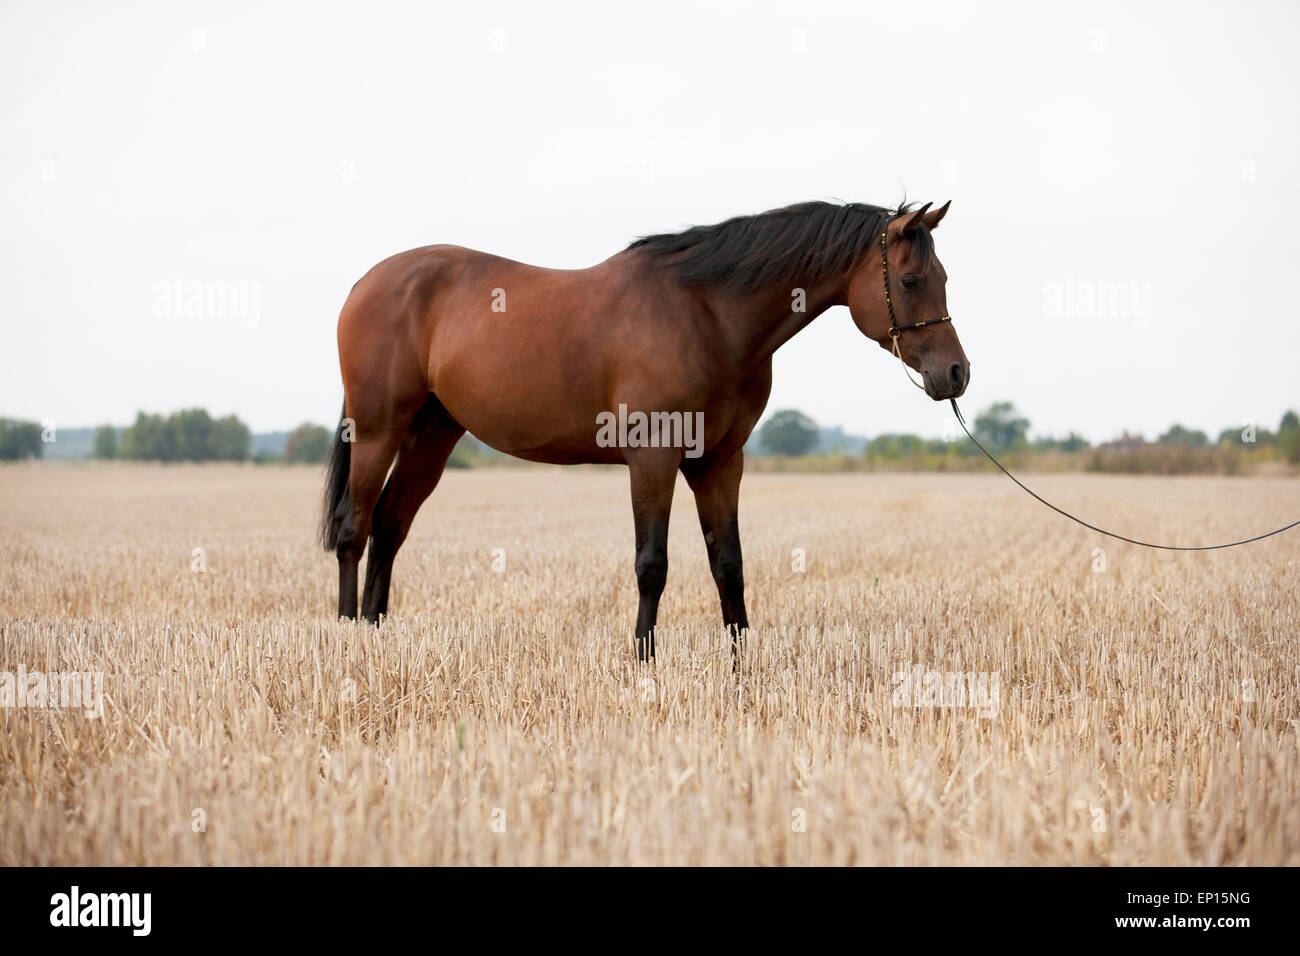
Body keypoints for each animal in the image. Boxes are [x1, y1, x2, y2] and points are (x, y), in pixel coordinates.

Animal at [319, 197, 972, 660]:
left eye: (943, 277)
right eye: (911, 281)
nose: (956, 373)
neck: (706, 313)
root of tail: (366, 282)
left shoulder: (720, 460)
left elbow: (728, 562)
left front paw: (742, 664)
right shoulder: (653, 456)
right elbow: (651, 563)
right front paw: (643, 661)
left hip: (432, 433)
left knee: (390, 525)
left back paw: (376, 637)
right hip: (378, 429)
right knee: (355, 528)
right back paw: (348, 641)